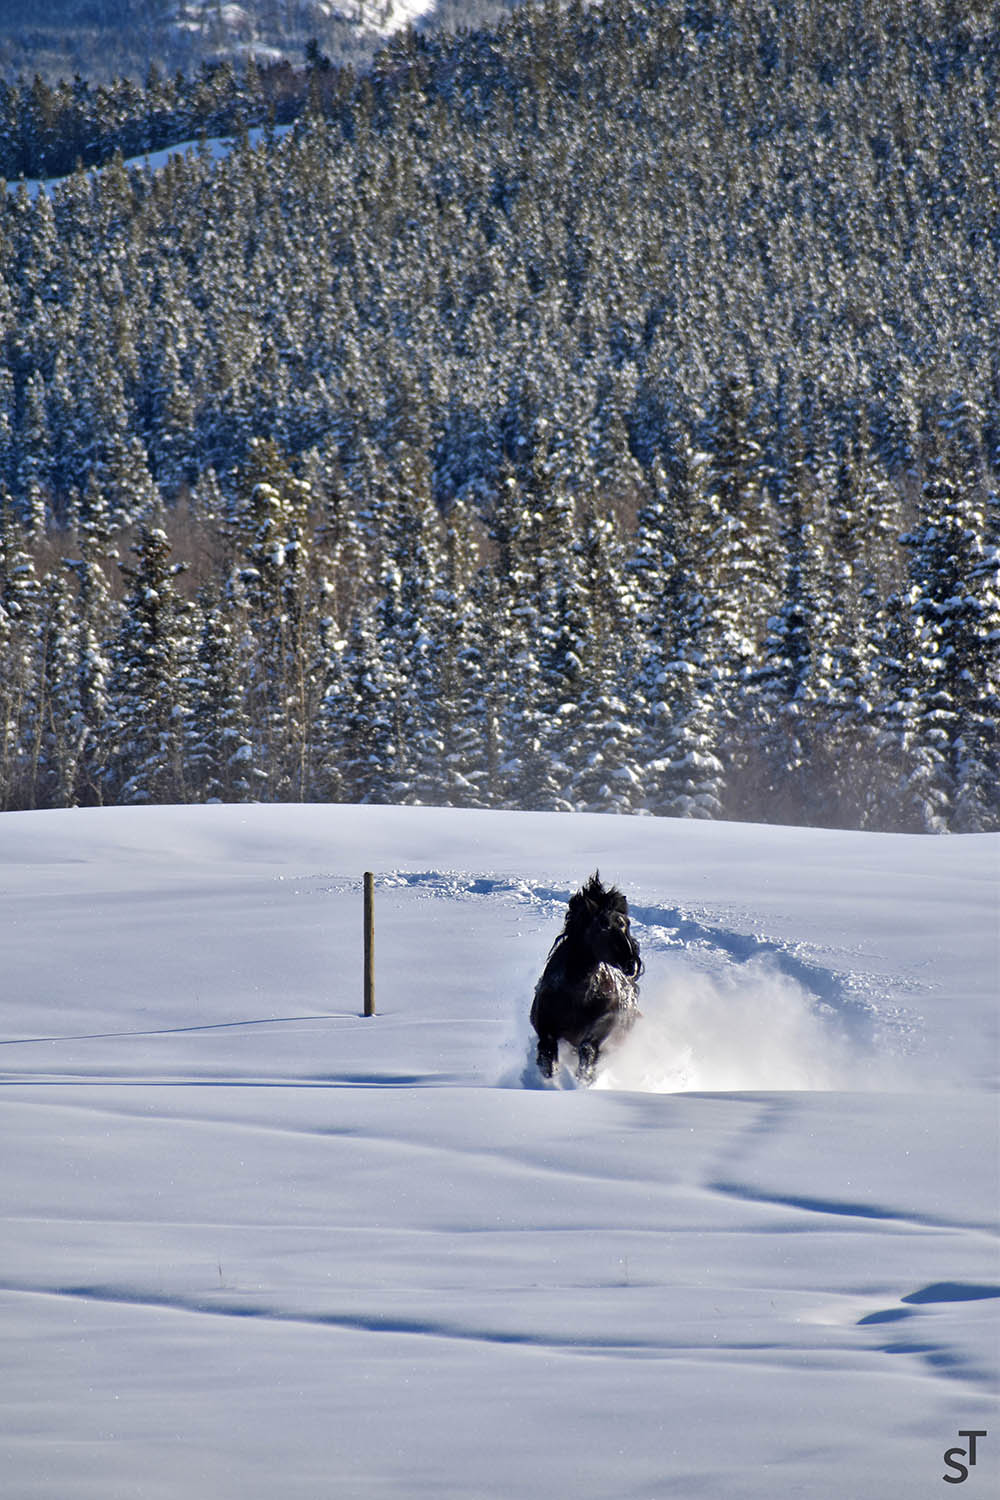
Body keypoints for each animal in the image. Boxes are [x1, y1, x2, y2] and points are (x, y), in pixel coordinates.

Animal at [530, 872, 642, 1083]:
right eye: (603, 925)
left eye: (626, 924)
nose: (632, 964)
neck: (577, 995)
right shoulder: (545, 1023)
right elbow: (547, 1050)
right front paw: (550, 1079)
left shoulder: (607, 1020)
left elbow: (588, 1047)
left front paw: (583, 1079)